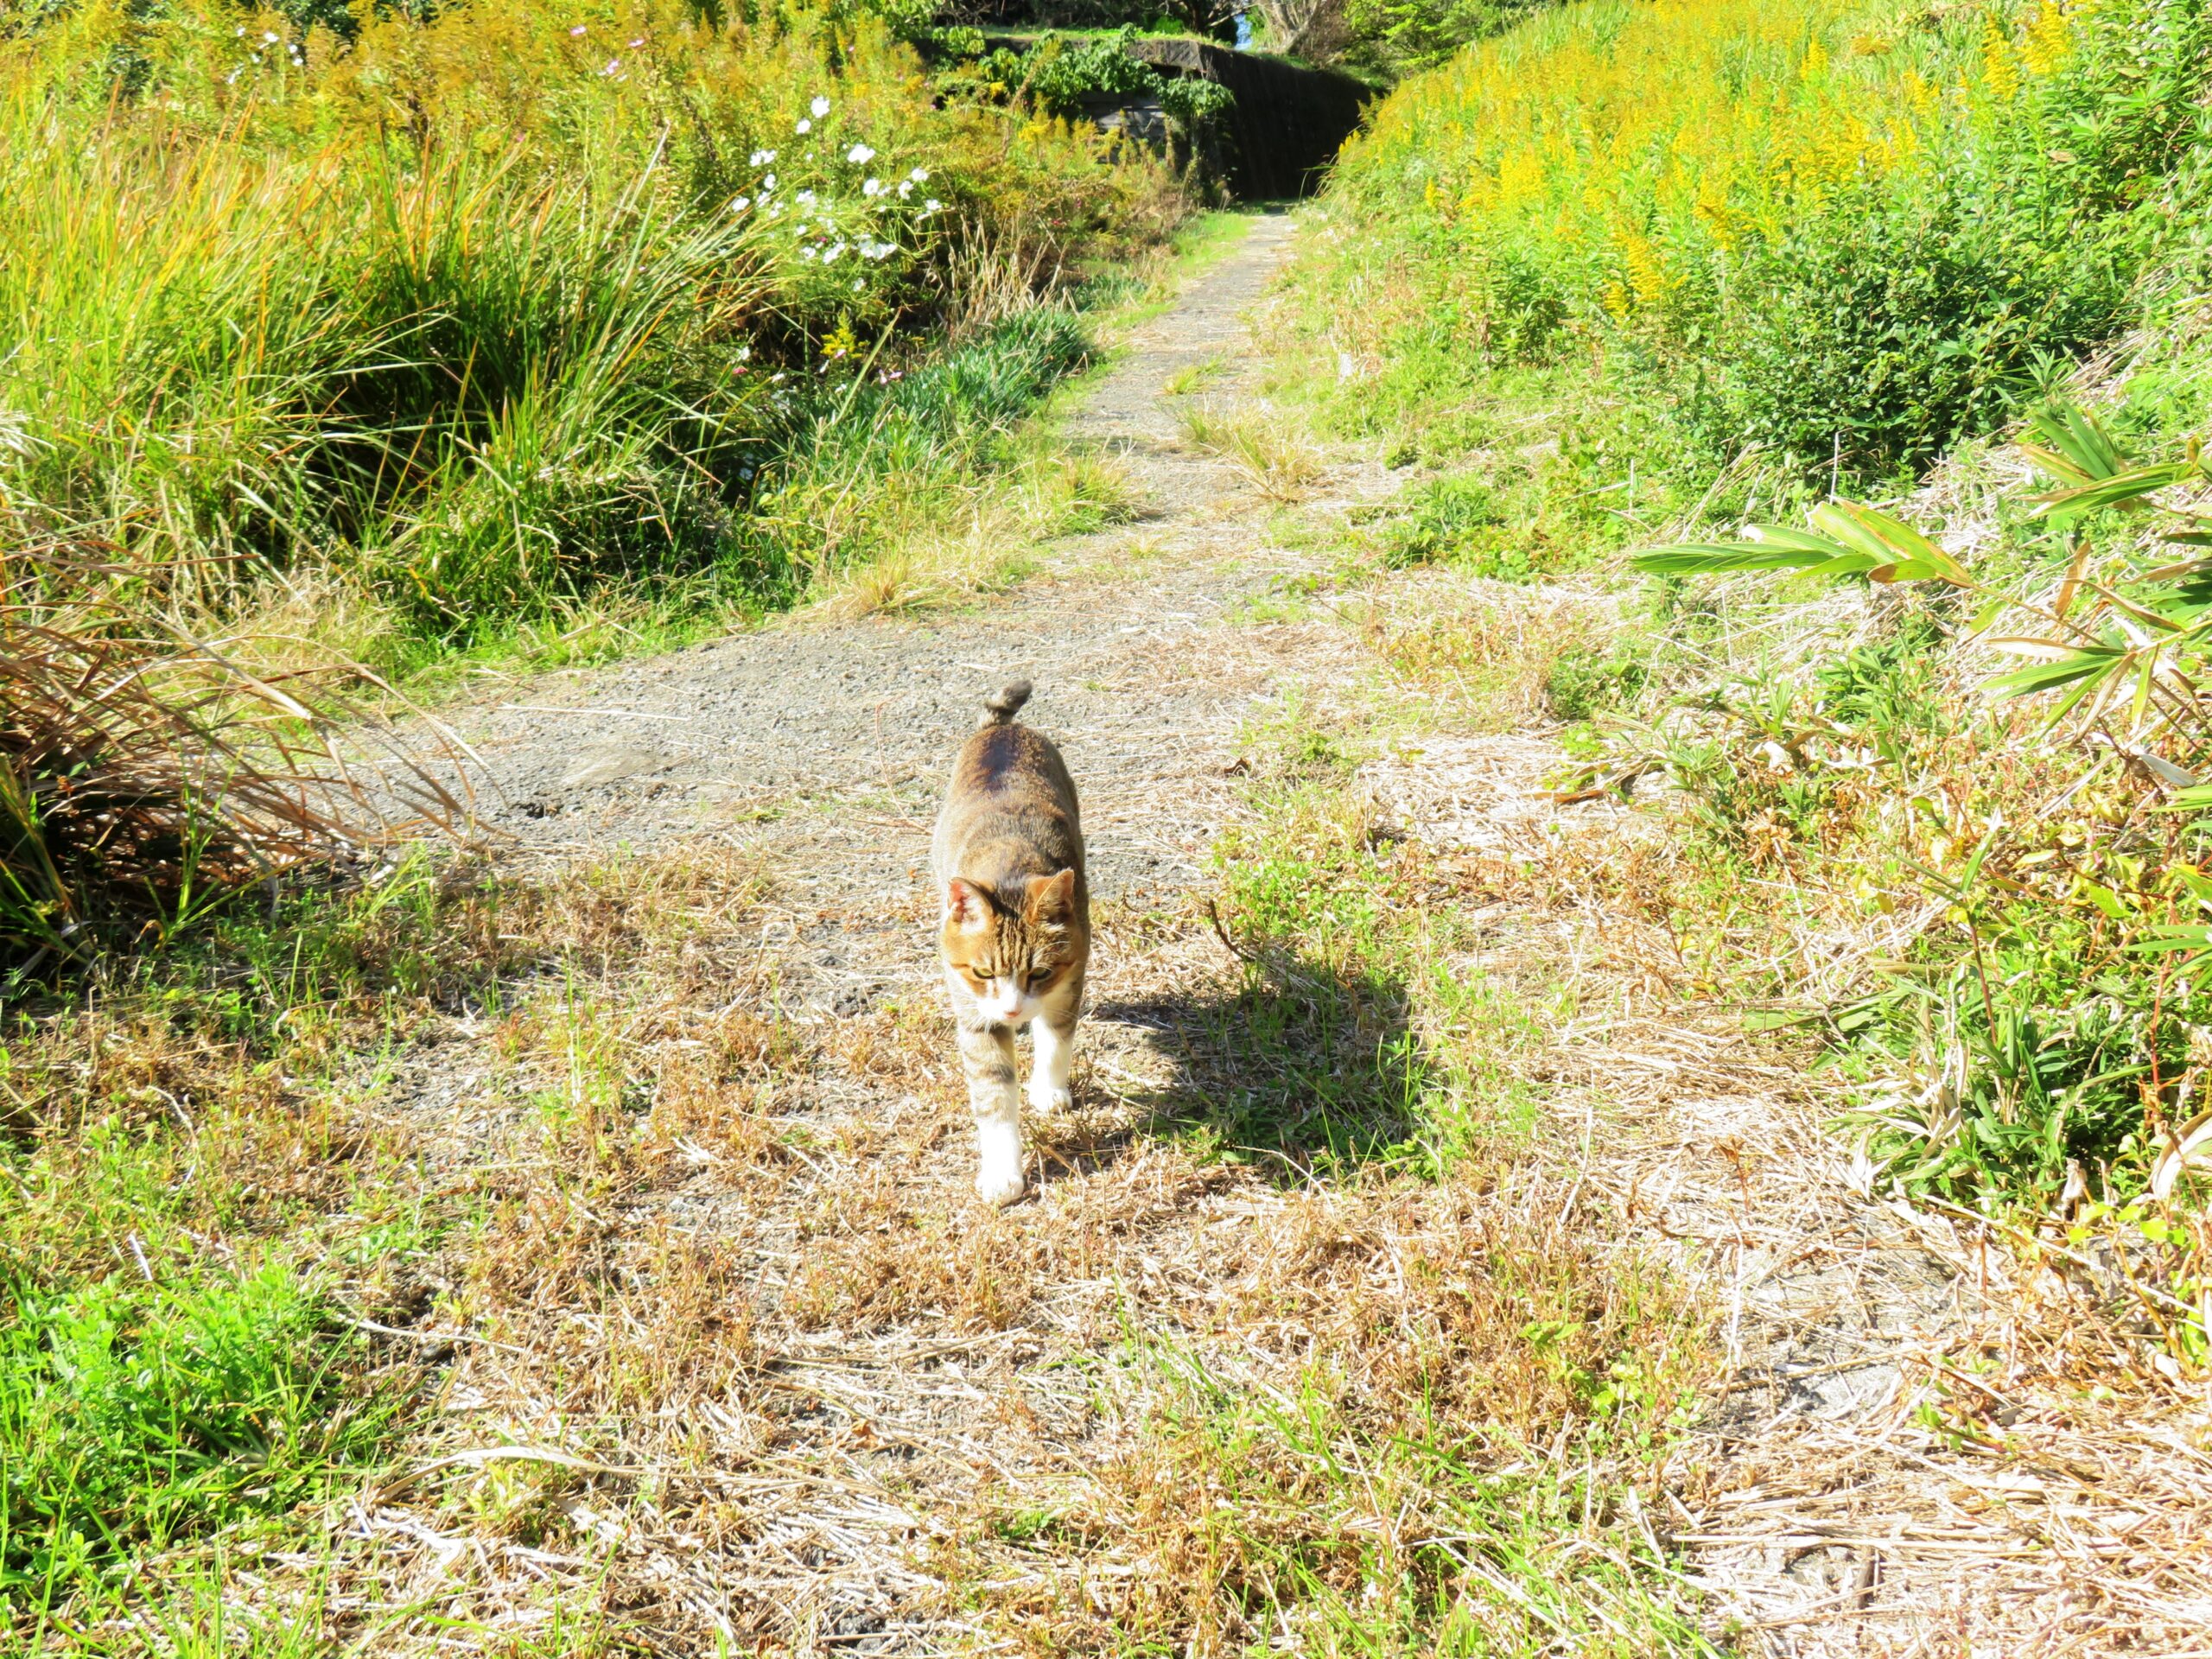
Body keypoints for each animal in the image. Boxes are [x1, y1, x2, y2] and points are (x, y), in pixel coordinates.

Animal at [933, 677, 1088, 1211]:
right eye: (983, 973)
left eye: (1039, 971)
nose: (1013, 1010)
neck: (1011, 865)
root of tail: (1002, 729)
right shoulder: (975, 1016)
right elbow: (994, 1096)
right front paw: (1003, 1172)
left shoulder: (1069, 979)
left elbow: (1056, 1039)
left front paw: (1048, 1089)